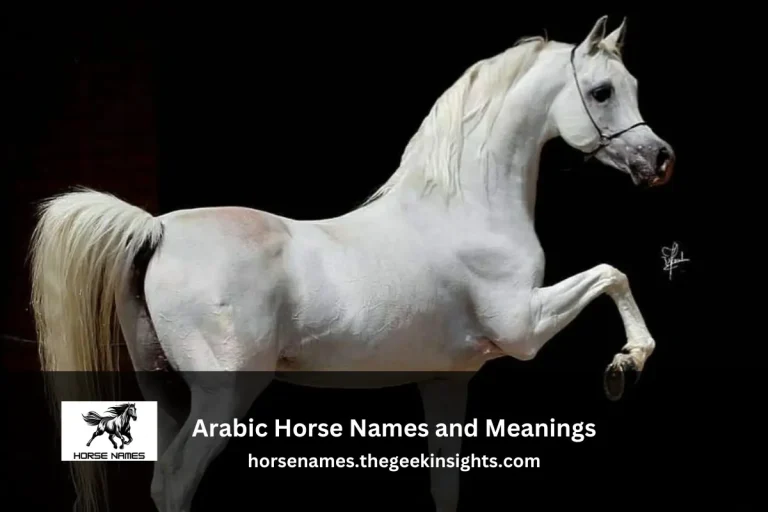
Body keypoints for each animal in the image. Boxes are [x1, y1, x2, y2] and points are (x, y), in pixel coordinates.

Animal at [28, 15, 675, 512]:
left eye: (633, 84)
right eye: (601, 91)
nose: (660, 160)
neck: (464, 206)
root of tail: (159, 229)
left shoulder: (447, 380)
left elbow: (445, 487)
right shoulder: (524, 328)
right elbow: (613, 274)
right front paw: (626, 365)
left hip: (162, 393)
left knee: (162, 478)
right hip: (222, 398)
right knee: (179, 481)